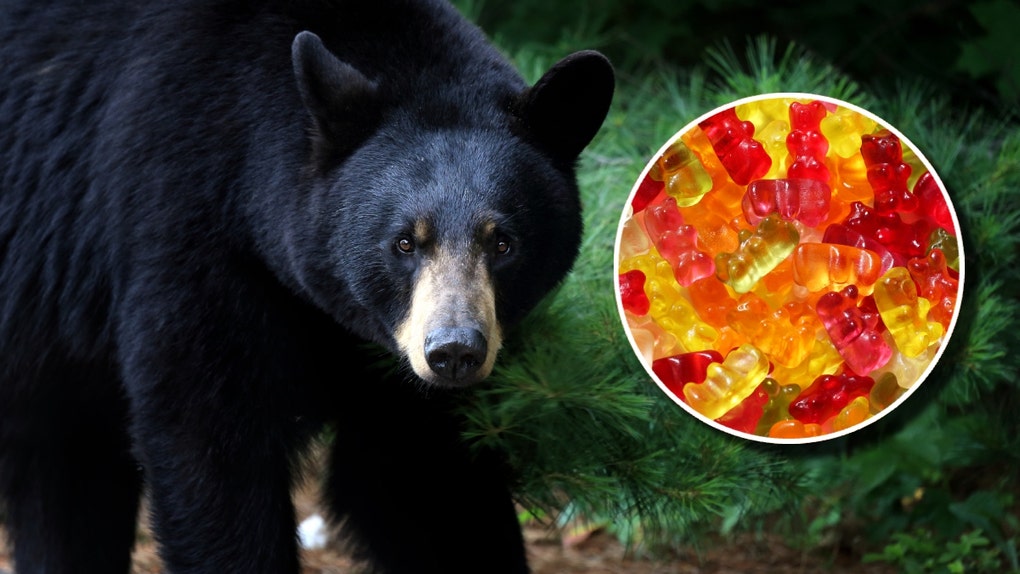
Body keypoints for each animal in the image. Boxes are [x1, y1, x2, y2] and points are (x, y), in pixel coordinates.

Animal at [0, 1, 615, 573]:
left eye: (502, 243)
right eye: (405, 242)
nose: (455, 351)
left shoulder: (384, 356)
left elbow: (424, 477)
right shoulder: (184, 228)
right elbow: (210, 446)